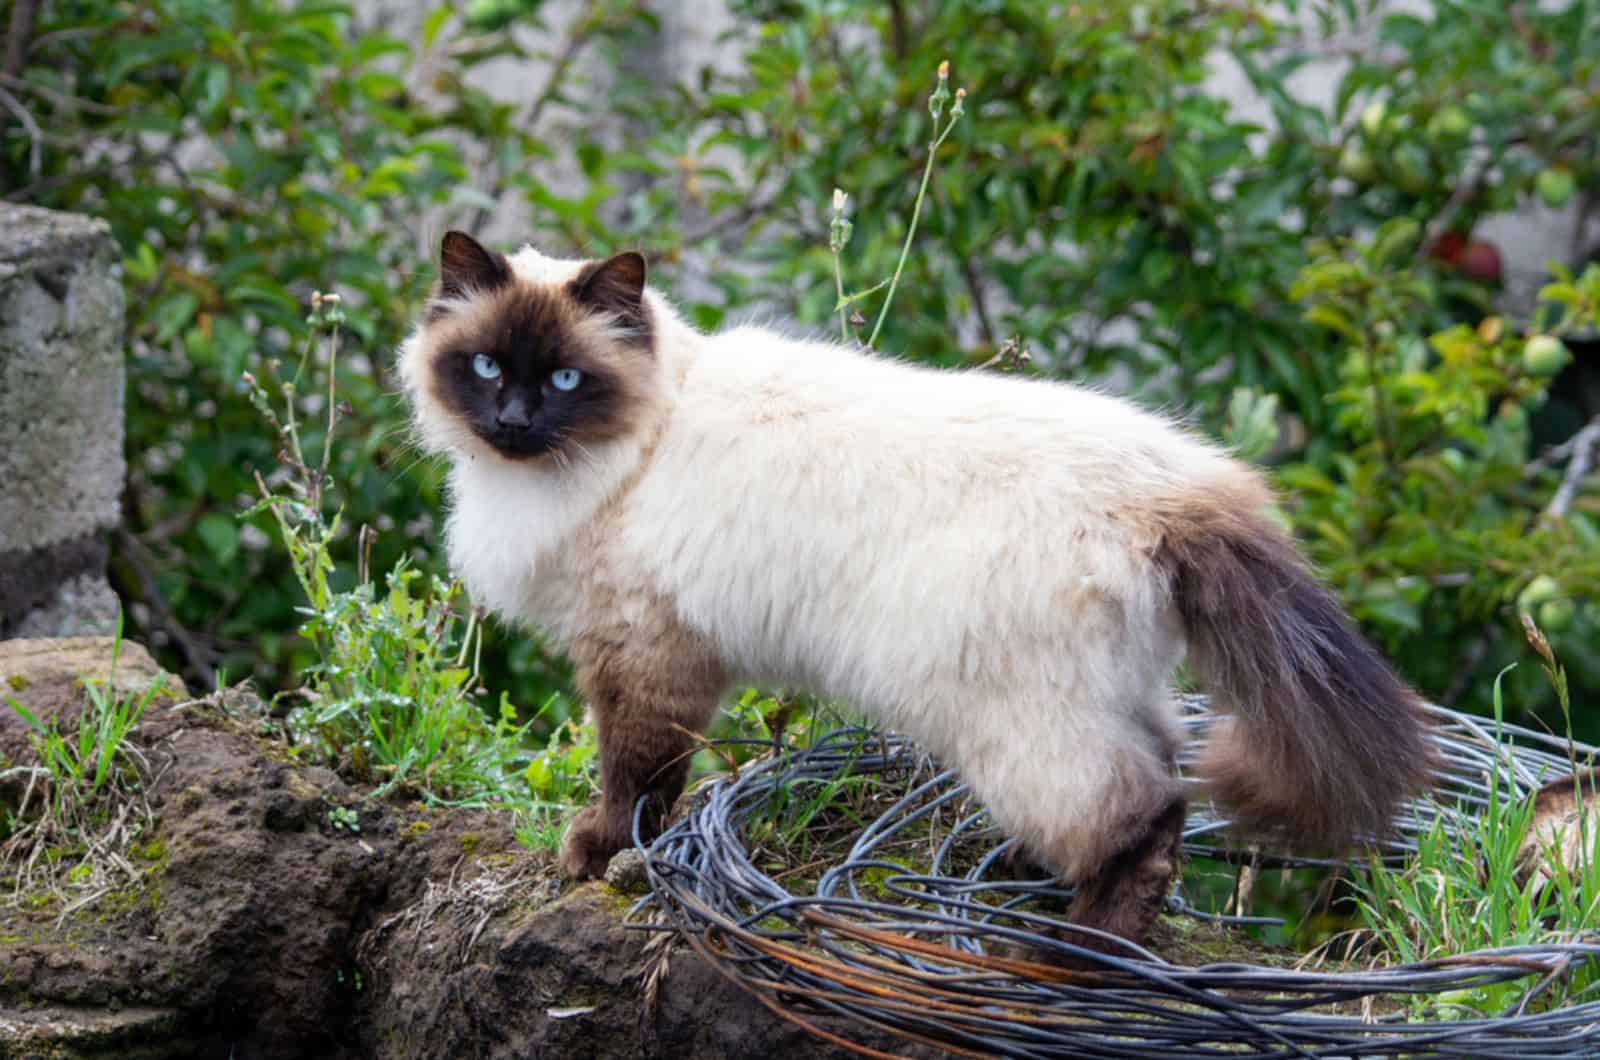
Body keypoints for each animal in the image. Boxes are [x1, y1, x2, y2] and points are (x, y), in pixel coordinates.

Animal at [400, 230, 1440, 947]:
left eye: (565, 380)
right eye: (487, 366)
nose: (512, 420)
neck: (610, 454)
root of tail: (1174, 483)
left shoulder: (643, 653)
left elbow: (638, 779)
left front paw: (601, 853)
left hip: (1006, 713)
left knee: (1138, 816)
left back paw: (1081, 946)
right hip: (1103, 688)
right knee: (1166, 769)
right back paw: (1035, 881)